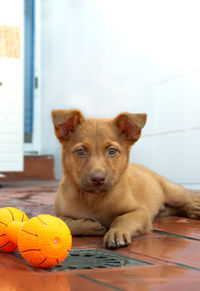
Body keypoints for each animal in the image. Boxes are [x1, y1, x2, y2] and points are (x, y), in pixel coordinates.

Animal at [51, 109, 200, 249]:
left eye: (112, 151)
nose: (98, 179)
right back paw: (193, 210)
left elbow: (123, 218)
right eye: (80, 152)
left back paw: (195, 207)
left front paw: (116, 232)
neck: (94, 199)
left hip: (175, 193)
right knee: (173, 209)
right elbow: (64, 222)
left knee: (190, 197)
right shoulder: (59, 212)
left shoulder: (140, 212)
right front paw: (91, 226)